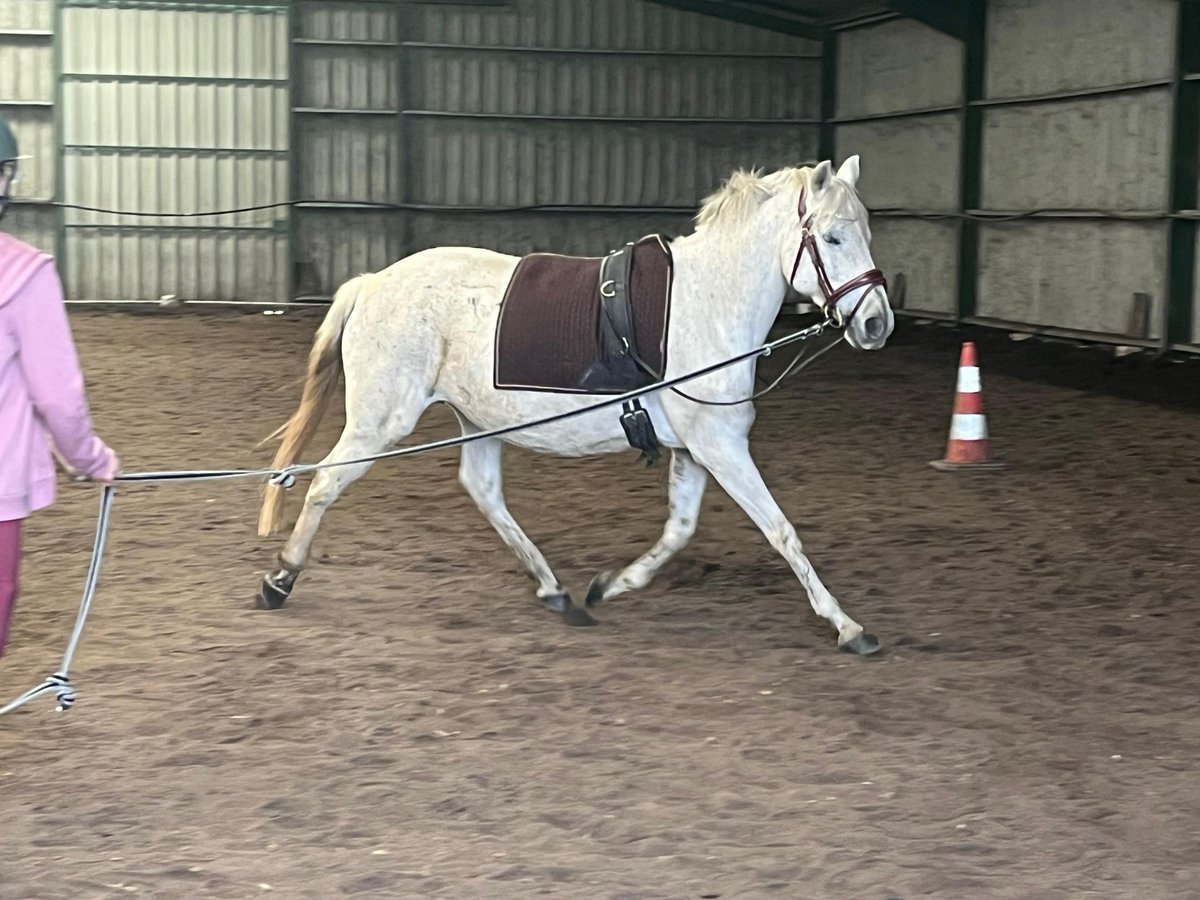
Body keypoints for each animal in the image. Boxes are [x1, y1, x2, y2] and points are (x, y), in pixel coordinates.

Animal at [258, 157, 897, 657]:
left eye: (865, 232)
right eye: (833, 238)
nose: (876, 324)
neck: (706, 304)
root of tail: (371, 282)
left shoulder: (696, 449)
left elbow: (679, 530)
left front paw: (609, 585)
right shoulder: (721, 447)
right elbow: (781, 531)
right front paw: (848, 627)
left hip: (476, 422)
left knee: (483, 491)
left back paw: (558, 592)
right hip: (380, 421)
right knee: (324, 484)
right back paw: (280, 579)